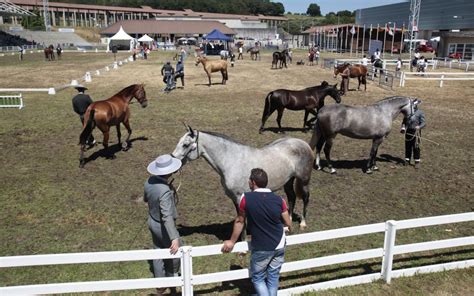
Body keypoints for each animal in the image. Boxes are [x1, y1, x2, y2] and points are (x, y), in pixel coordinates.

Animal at [171, 126, 314, 230]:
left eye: (185, 144)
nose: (173, 160)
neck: (231, 160)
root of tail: (302, 143)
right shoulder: (234, 198)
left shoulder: (240, 196)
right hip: (288, 181)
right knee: (292, 197)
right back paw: (287, 223)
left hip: (303, 180)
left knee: (306, 198)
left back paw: (303, 223)